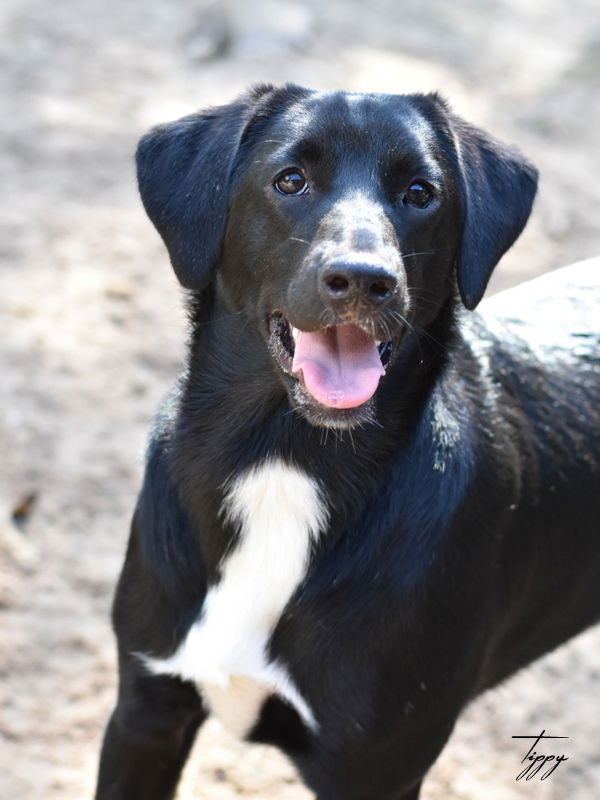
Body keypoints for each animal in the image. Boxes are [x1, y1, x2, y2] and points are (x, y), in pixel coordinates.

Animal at [94, 83, 600, 800]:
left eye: (420, 193)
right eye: (290, 180)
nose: (364, 279)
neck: (282, 460)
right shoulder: (145, 712)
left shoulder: (377, 765)